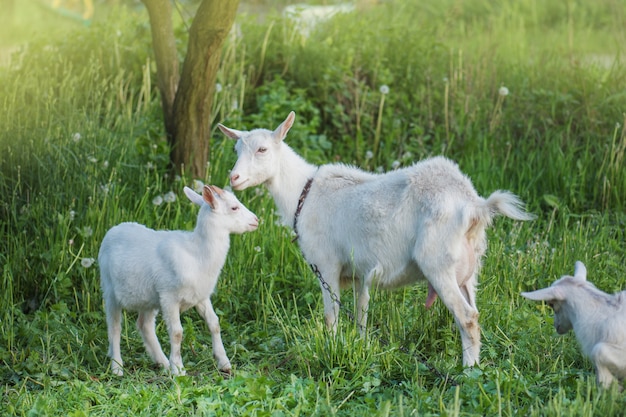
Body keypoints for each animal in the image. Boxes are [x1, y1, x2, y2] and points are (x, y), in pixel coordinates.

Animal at [97, 184, 256, 374]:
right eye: (234, 207)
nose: (256, 220)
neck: (197, 254)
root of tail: (114, 229)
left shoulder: (201, 296)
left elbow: (214, 323)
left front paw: (224, 363)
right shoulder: (169, 298)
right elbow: (177, 332)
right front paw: (179, 369)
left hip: (148, 298)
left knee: (145, 325)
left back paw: (162, 363)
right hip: (110, 289)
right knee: (114, 326)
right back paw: (117, 366)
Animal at [217, 112, 532, 366]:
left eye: (262, 149)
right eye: (235, 148)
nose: (234, 178)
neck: (303, 194)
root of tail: (474, 205)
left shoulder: (326, 264)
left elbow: (331, 315)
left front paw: (330, 347)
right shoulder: (358, 271)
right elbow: (361, 312)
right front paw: (360, 344)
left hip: (438, 261)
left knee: (467, 317)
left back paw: (467, 373)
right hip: (469, 270)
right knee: (474, 312)